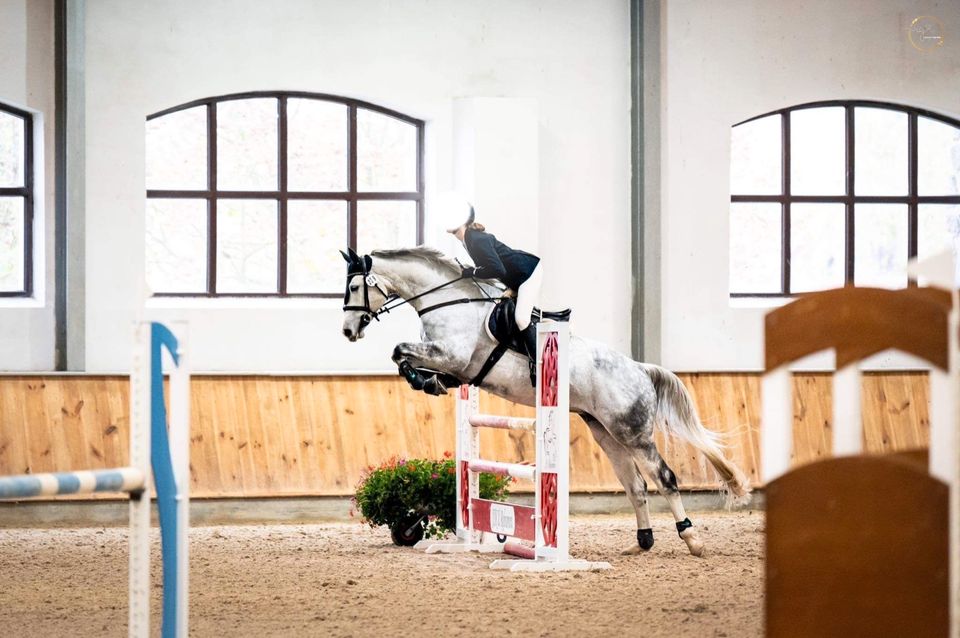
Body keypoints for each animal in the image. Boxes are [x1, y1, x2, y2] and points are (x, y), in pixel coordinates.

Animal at [342, 248, 752, 556]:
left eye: (354, 286)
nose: (348, 331)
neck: (446, 302)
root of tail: (638, 368)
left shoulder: (453, 355)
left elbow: (400, 351)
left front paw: (419, 379)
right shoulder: (453, 364)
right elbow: (408, 358)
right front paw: (428, 383)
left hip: (633, 433)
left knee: (664, 478)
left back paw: (692, 538)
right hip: (605, 431)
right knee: (636, 485)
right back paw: (642, 543)